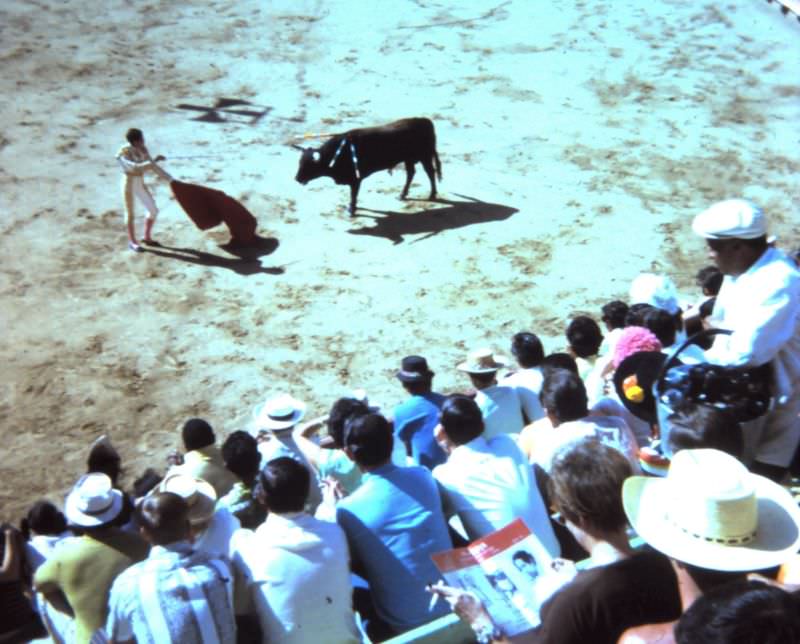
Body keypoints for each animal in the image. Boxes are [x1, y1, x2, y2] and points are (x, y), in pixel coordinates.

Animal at [294, 117, 444, 215]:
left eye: (308, 165)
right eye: (299, 162)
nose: (297, 178)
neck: (337, 153)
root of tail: (425, 121)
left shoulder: (355, 180)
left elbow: (353, 195)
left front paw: (351, 209)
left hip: (425, 156)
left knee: (430, 172)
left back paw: (432, 195)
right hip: (409, 159)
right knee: (411, 173)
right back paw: (402, 195)